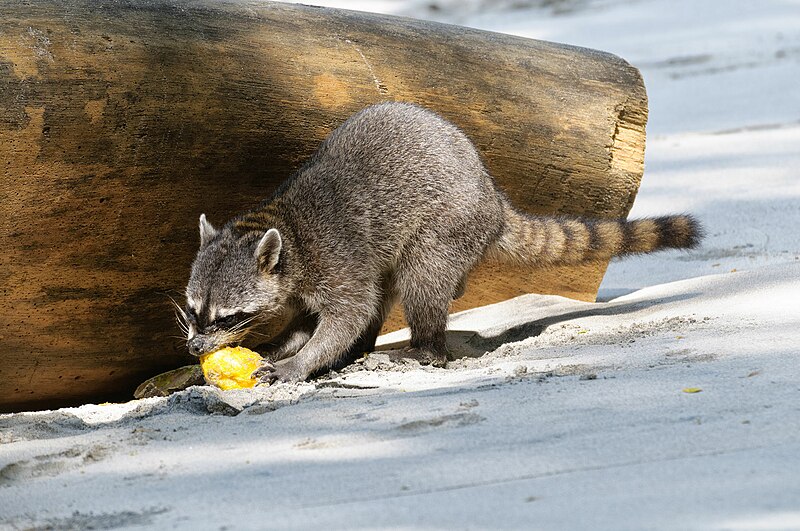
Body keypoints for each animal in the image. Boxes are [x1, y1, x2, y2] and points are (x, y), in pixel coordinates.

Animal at [181, 101, 700, 382]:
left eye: (228, 315)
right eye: (193, 309)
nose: (194, 348)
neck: (281, 227)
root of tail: (494, 198)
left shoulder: (335, 258)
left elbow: (347, 315)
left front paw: (302, 361)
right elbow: (309, 320)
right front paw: (279, 346)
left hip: (447, 224)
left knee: (421, 279)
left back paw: (423, 348)